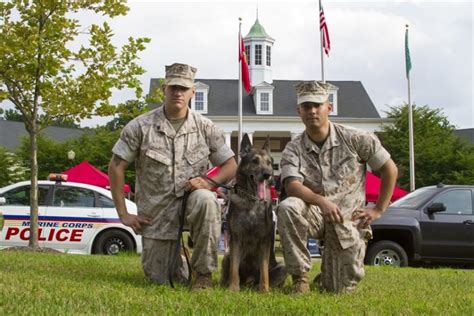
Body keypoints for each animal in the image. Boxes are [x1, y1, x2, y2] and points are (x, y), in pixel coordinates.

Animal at [221, 133, 286, 292]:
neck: (251, 199)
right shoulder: (236, 239)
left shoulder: (264, 242)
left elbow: (264, 270)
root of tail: (248, 282)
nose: (268, 175)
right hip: (227, 254)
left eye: (269, 163)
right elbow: (234, 269)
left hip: (282, 266)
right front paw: (233, 289)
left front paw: (264, 290)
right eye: (255, 161)